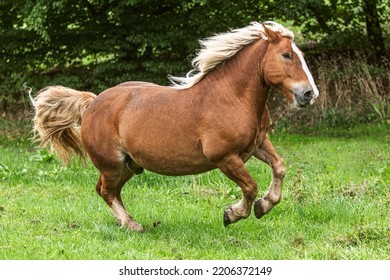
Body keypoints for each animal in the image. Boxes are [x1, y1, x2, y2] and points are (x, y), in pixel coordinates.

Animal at [30, 21, 316, 232]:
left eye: (300, 55)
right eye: (286, 55)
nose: (309, 94)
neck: (231, 97)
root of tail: (91, 102)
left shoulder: (257, 144)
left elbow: (279, 167)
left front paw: (264, 205)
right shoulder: (224, 157)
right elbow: (250, 187)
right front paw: (232, 214)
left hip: (130, 165)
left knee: (110, 191)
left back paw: (130, 222)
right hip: (111, 164)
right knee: (105, 190)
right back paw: (132, 225)